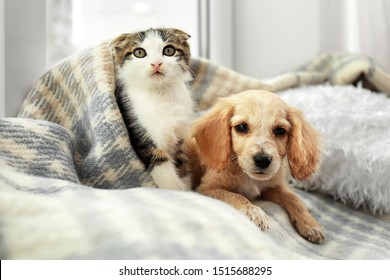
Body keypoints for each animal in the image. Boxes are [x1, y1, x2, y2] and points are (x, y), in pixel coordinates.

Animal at [110, 27, 193, 190]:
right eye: (139, 52)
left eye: (169, 50)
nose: (156, 63)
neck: (160, 94)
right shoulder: (140, 133)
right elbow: (160, 164)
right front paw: (175, 189)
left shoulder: (179, 136)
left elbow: (181, 161)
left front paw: (187, 187)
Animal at [191, 89, 322, 243]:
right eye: (241, 127)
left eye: (280, 130)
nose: (263, 160)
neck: (249, 178)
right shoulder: (206, 188)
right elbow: (234, 195)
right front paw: (253, 211)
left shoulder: (273, 186)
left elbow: (293, 198)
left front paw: (310, 223)